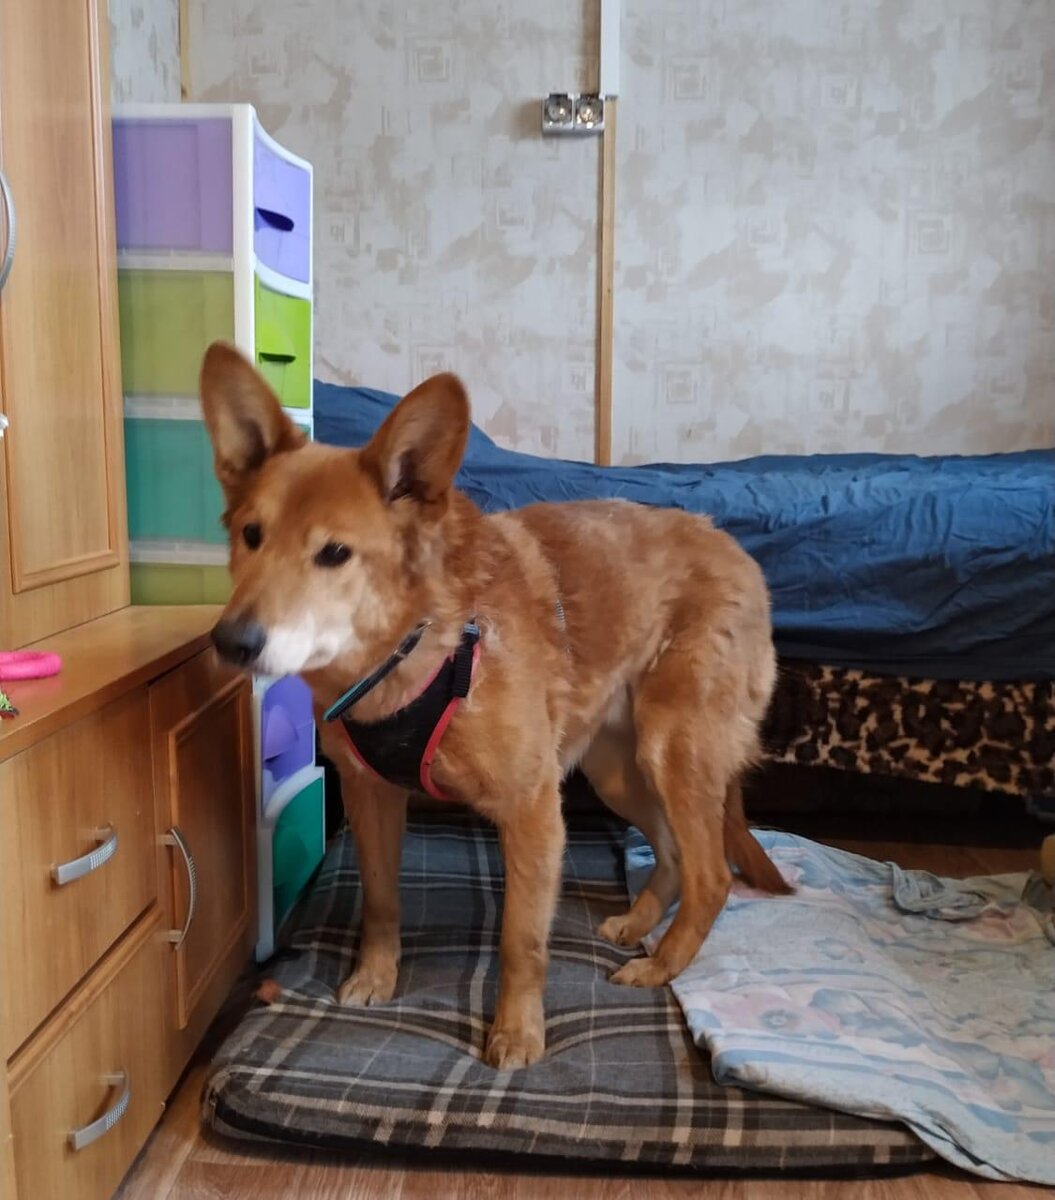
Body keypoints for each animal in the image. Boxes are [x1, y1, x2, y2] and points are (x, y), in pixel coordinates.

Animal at [200, 342, 790, 1070]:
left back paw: (662, 965)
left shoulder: (533, 810)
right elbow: (381, 902)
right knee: (676, 856)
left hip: (671, 752)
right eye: (251, 535)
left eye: (334, 553)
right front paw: (375, 977)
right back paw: (639, 922)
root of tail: (734, 549)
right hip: (618, 773)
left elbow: (521, 940)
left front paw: (517, 1032)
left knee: (710, 876)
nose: (230, 642)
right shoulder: (371, 796)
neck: (412, 650)